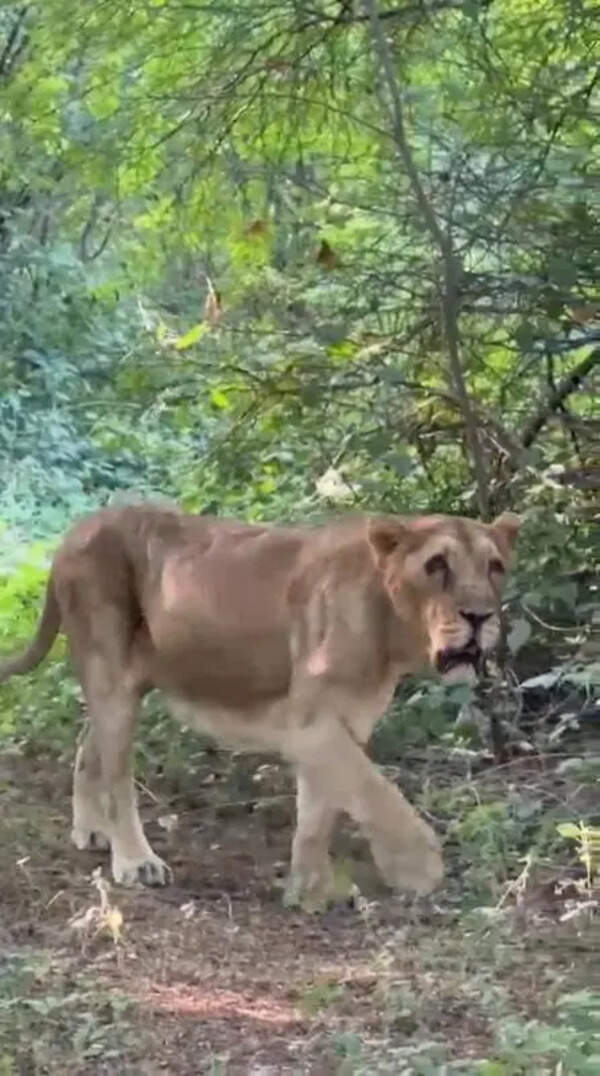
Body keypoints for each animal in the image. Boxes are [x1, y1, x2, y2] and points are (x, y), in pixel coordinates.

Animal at [0, 505, 519, 904]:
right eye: (437, 565)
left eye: (495, 566)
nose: (480, 617)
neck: (392, 630)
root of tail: (77, 529)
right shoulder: (307, 723)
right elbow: (376, 792)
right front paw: (417, 867)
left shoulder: (343, 723)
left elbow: (319, 810)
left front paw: (310, 890)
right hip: (111, 673)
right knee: (117, 774)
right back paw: (135, 860)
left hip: (127, 685)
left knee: (89, 743)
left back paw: (91, 830)